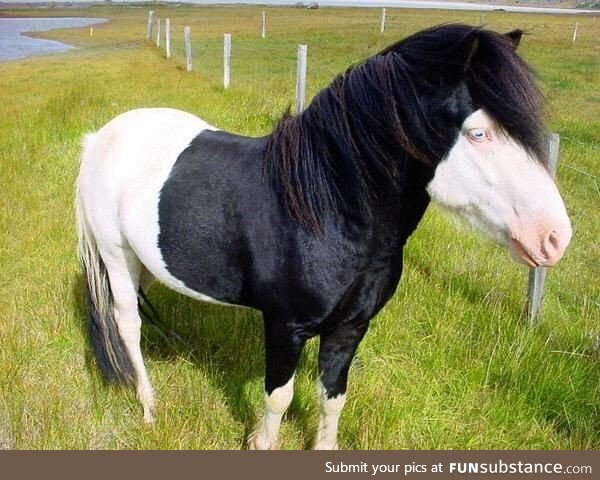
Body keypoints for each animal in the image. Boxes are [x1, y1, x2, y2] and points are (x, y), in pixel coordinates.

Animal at [75, 24, 572, 448]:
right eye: (478, 133)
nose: (555, 237)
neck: (324, 211)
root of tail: (101, 136)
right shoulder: (284, 325)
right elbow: (278, 397)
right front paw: (260, 444)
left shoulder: (350, 328)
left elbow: (332, 399)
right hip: (115, 255)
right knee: (127, 323)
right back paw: (149, 407)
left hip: (147, 261)